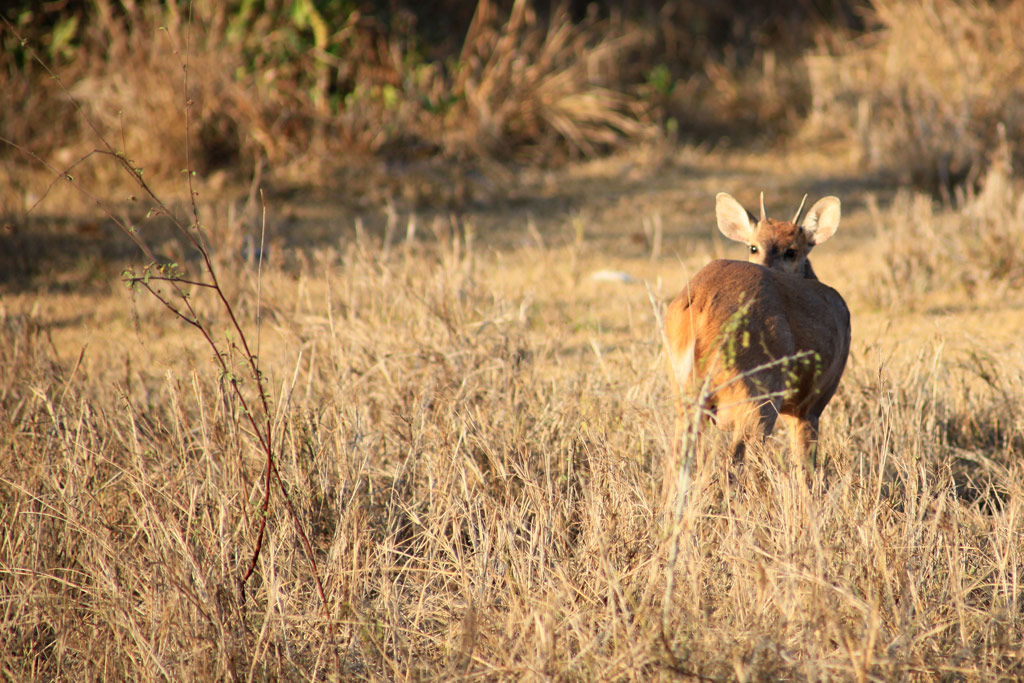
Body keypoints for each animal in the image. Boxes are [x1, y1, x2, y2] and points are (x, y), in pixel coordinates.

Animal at [663, 192, 847, 471]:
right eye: (753, 247)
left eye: (791, 251)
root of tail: (702, 303)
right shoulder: (811, 403)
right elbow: (805, 467)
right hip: (758, 393)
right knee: (733, 462)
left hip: (685, 391)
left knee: (677, 458)